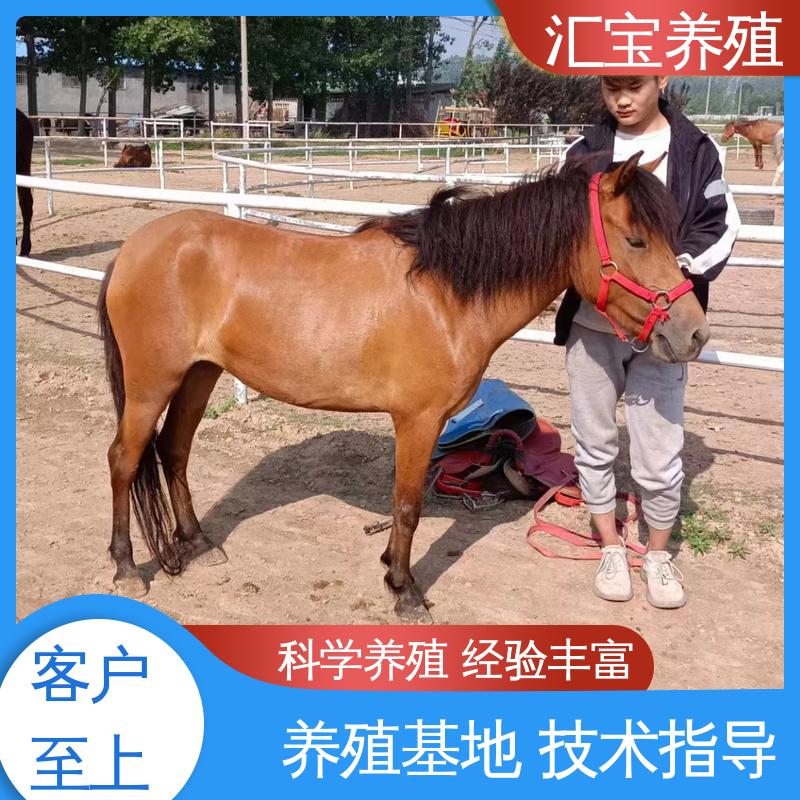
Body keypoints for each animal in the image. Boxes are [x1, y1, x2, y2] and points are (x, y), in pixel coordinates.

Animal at [97, 151, 709, 619]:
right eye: (635, 240)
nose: (694, 333)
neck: (447, 294)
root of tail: (133, 248)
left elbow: (403, 505)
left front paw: (393, 573)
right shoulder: (418, 421)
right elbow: (408, 505)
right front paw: (406, 591)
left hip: (198, 374)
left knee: (174, 451)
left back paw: (199, 544)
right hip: (153, 384)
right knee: (125, 459)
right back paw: (127, 567)